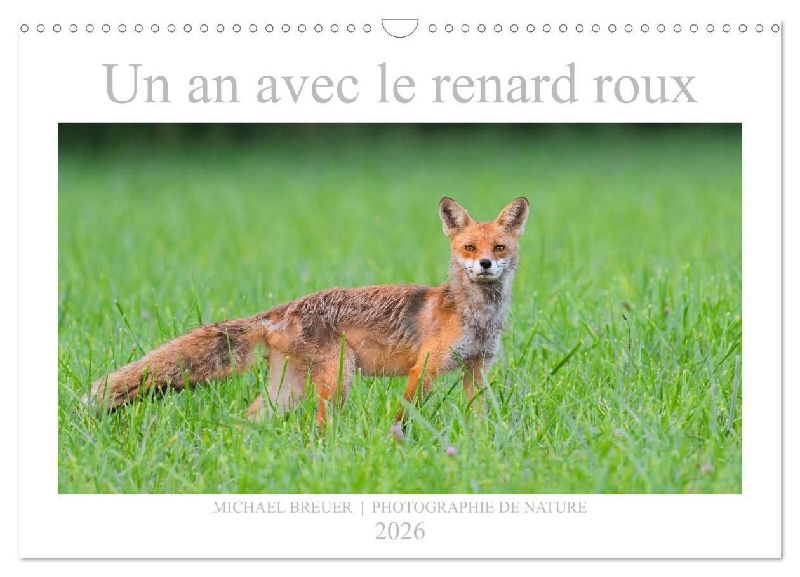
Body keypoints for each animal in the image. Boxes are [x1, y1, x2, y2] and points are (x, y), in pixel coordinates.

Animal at [86, 197, 529, 428]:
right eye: (469, 247)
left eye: (499, 247)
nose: (485, 264)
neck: (475, 317)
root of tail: (283, 308)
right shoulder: (425, 369)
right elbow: (404, 415)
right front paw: (397, 443)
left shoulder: (476, 369)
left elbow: (480, 415)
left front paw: (483, 445)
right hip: (338, 378)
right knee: (319, 425)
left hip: (288, 388)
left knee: (248, 416)